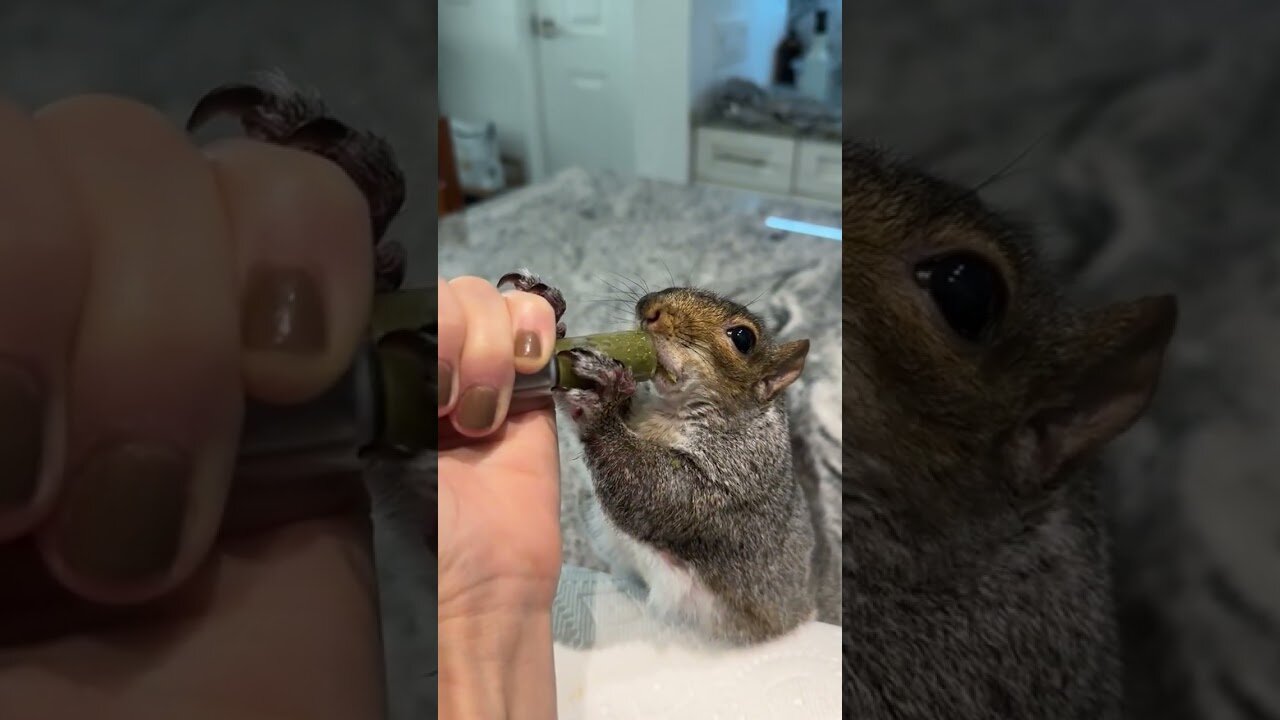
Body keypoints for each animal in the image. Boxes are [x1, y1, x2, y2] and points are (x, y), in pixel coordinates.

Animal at [499, 271, 817, 646]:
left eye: (743, 338)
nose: (648, 307)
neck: (669, 411)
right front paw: (556, 322)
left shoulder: (739, 477)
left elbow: (662, 493)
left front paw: (601, 400)